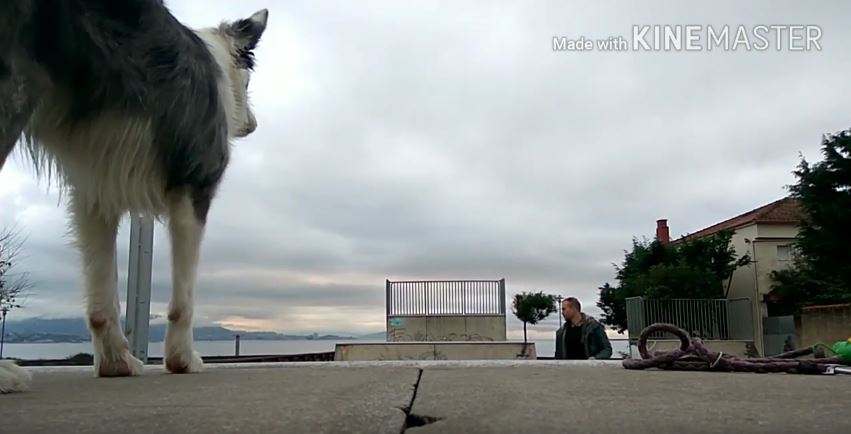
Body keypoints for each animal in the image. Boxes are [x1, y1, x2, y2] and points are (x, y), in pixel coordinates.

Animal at [0, 0, 270, 394]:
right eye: (248, 81)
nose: (252, 125)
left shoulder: (93, 193)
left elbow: (102, 295)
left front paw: (116, 363)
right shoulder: (194, 187)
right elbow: (184, 297)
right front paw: (182, 360)